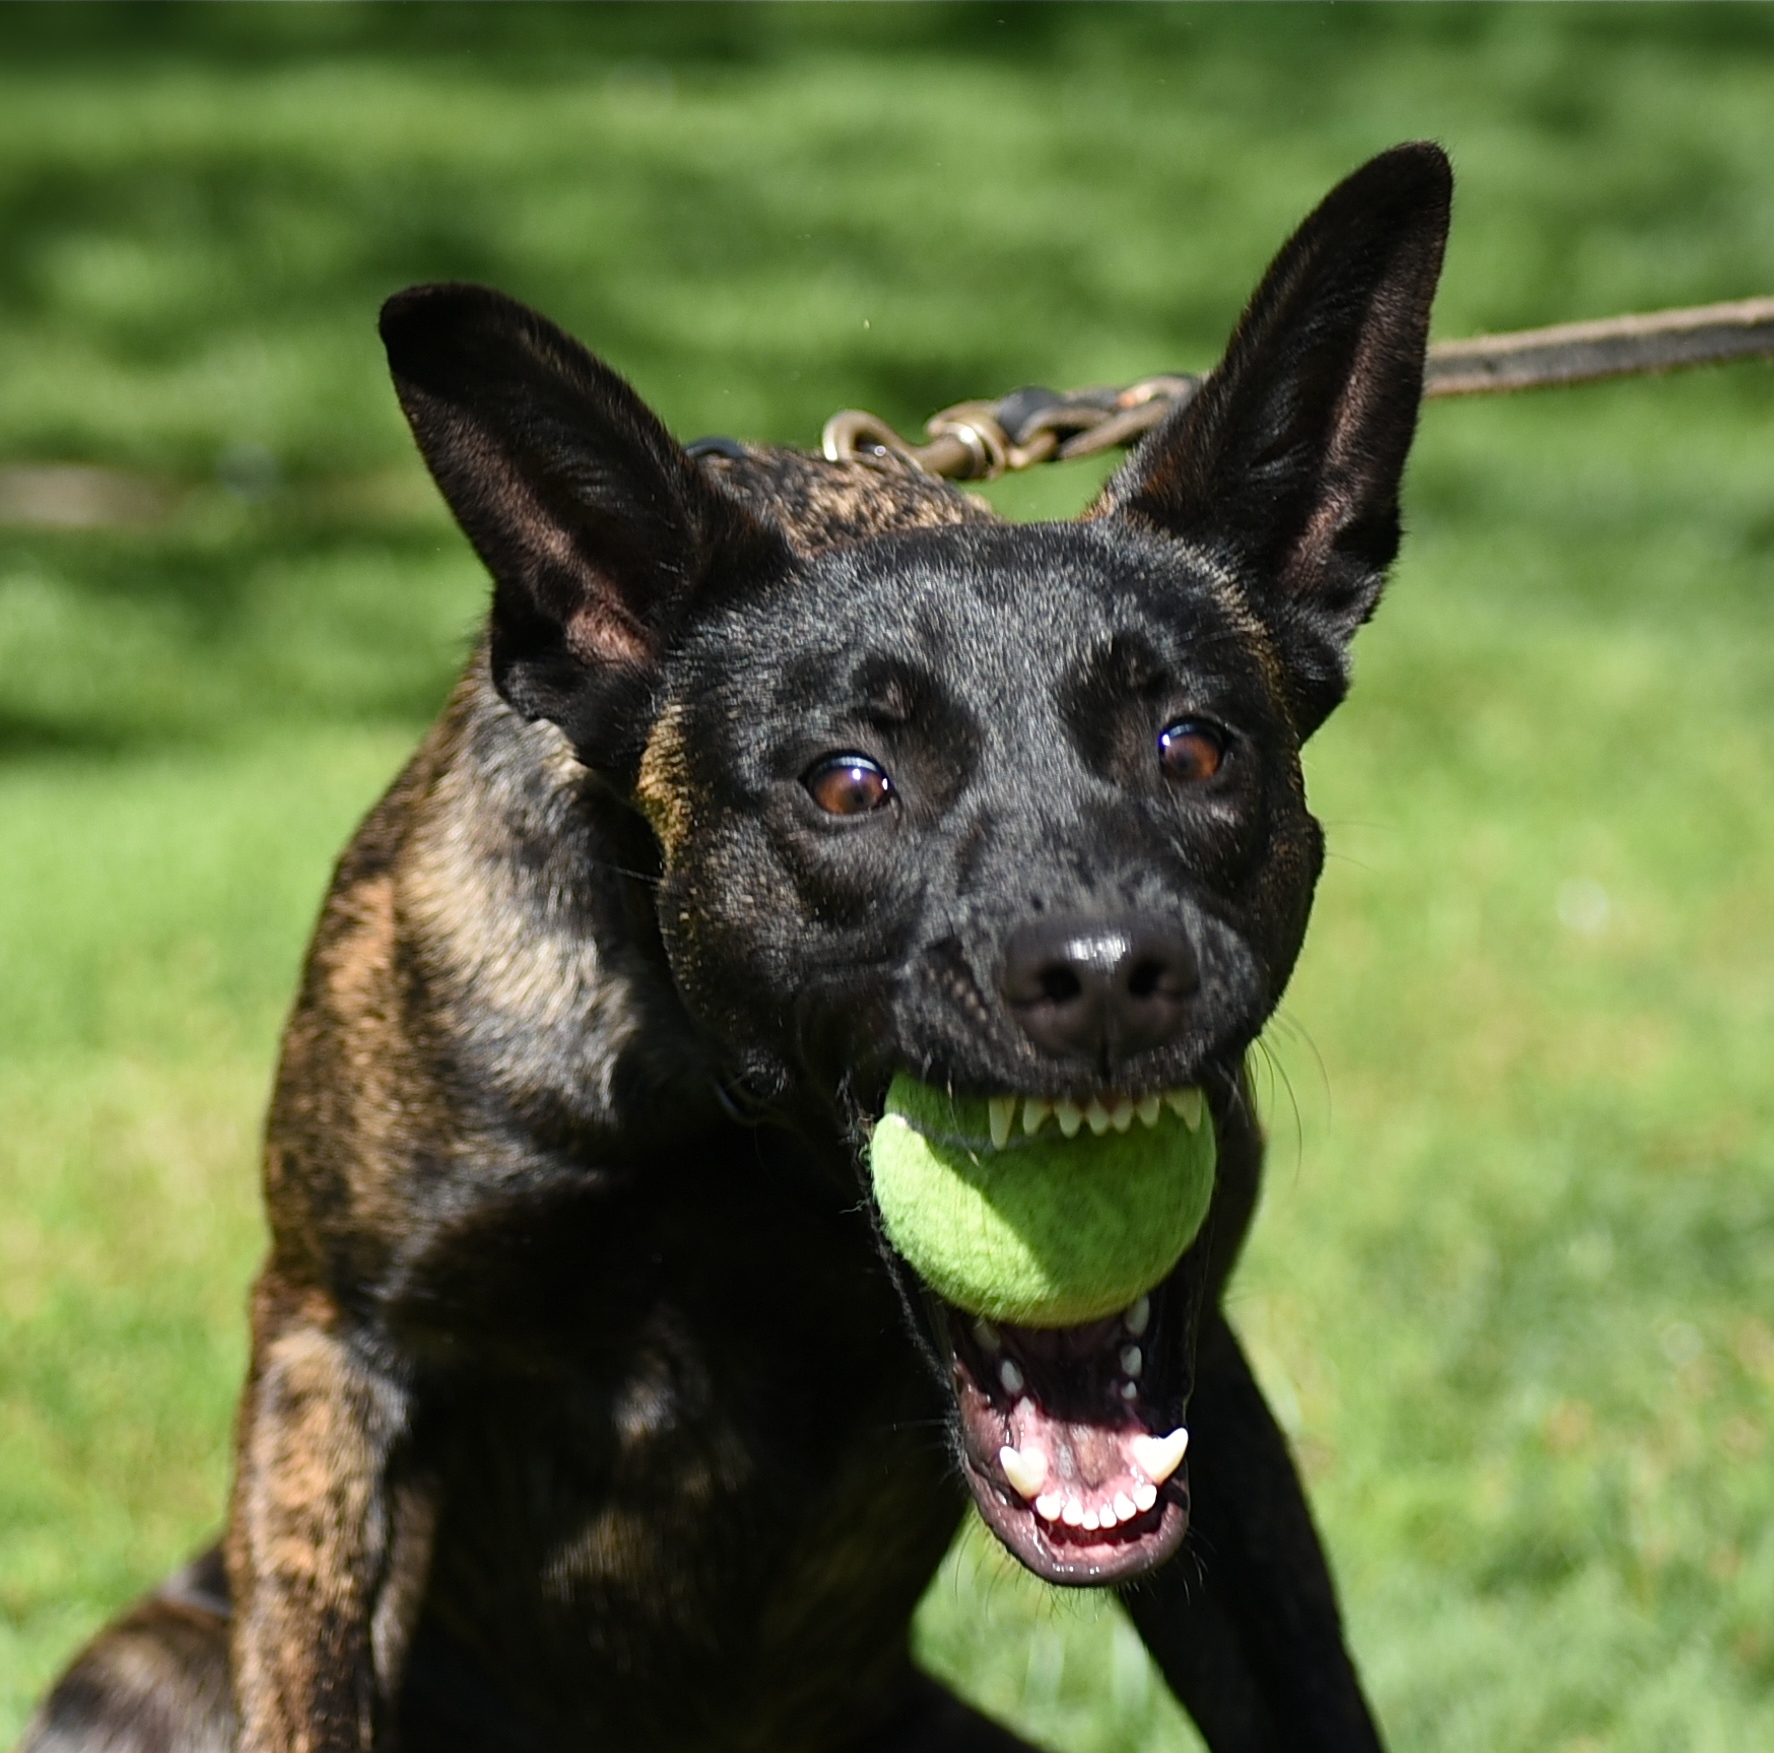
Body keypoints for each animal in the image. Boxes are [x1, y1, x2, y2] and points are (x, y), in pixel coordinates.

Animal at [20, 140, 1447, 1753]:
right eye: (847, 781)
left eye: (1192, 747)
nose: (1101, 974)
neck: (741, 1126)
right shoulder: (342, 1346)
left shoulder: (1214, 1394)